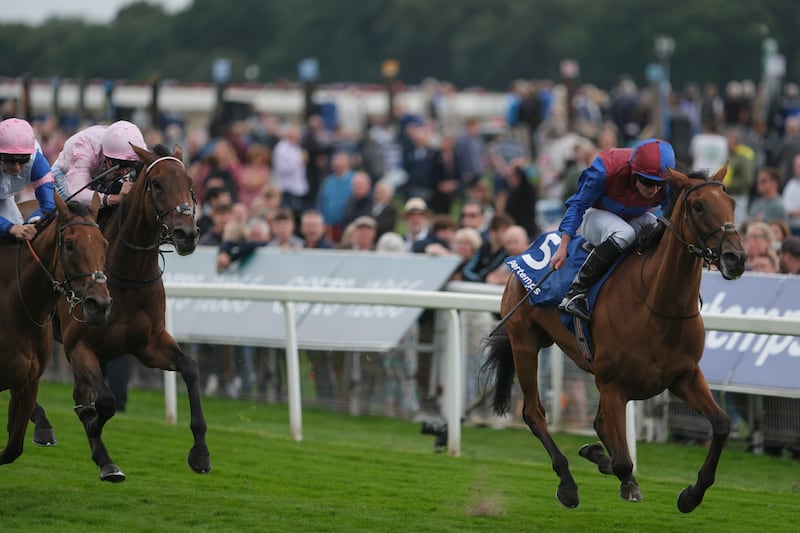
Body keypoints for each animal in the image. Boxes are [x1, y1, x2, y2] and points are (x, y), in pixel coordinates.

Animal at [37, 142, 206, 482]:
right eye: (156, 184)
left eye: (190, 184)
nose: (187, 234)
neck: (128, 273)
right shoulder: (78, 345)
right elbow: (104, 402)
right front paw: (92, 426)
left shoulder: (148, 345)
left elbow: (191, 368)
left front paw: (200, 453)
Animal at [482, 166, 752, 512]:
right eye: (698, 206)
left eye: (732, 203)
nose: (736, 258)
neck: (657, 306)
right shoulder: (612, 384)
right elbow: (624, 461)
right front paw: (625, 481)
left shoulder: (685, 376)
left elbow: (721, 425)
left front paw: (692, 494)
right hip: (525, 344)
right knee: (534, 413)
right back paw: (568, 483)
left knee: (597, 424)